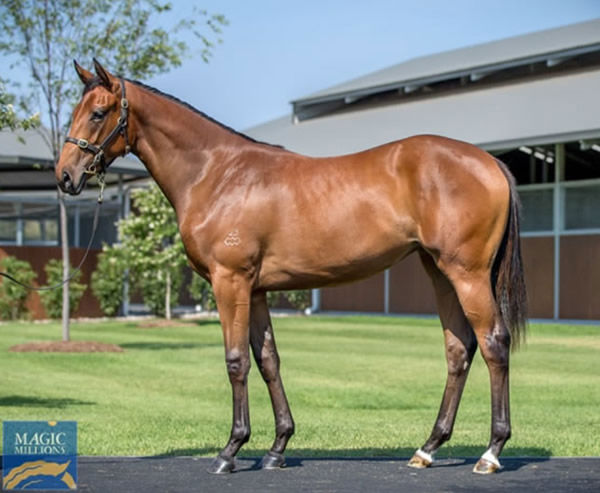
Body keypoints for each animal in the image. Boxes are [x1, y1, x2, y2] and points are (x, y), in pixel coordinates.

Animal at [56, 59, 524, 474]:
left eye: (98, 112)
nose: (65, 176)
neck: (217, 173)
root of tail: (490, 162)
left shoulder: (230, 282)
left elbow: (236, 361)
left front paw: (230, 450)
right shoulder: (257, 290)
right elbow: (268, 361)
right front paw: (277, 447)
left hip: (466, 274)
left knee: (493, 343)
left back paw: (491, 452)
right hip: (439, 273)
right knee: (458, 349)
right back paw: (427, 448)